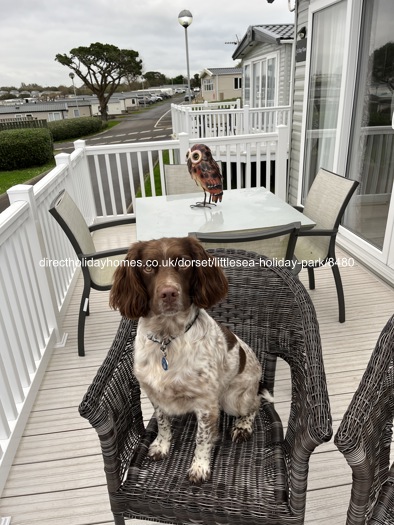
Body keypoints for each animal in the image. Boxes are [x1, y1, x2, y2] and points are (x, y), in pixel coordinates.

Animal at [109, 236, 272, 484]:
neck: (167, 339)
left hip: (233, 399)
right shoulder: (155, 395)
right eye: (148, 267)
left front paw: (200, 467)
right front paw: (161, 446)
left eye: (184, 263)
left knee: (255, 404)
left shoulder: (206, 404)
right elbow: (163, 423)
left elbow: (202, 439)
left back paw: (242, 427)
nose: (168, 293)